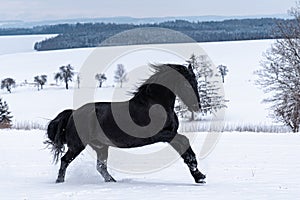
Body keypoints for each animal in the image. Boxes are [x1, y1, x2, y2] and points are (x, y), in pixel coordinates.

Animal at [46, 64, 206, 184]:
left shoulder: (170, 135)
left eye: (196, 82)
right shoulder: (161, 135)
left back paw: (112, 181)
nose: (197, 107)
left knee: (100, 167)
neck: (154, 104)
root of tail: (73, 113)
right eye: (185, 83)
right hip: (77, 145)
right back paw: (59, 182)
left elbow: (184, 148)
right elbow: (184, 142)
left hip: (101, 147)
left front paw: (199, 176)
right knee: (65, 160)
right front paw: (197, 172)